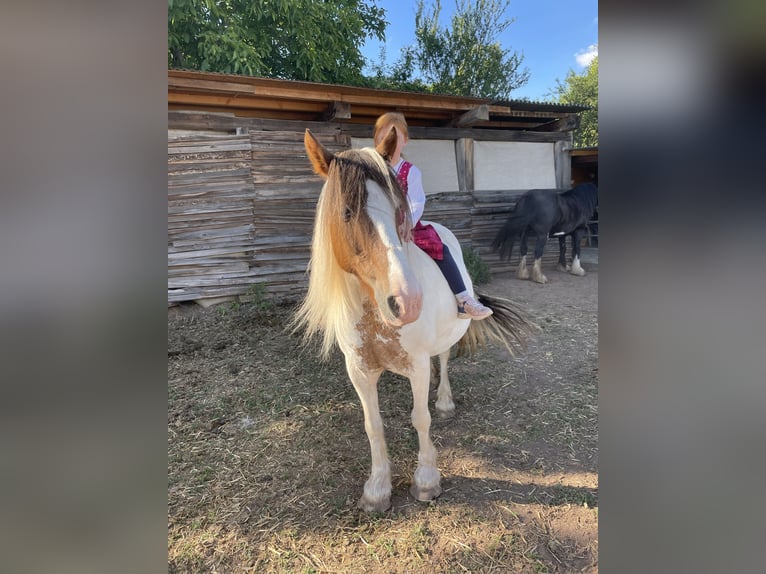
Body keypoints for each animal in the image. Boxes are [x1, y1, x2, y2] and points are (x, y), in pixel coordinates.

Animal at [294, 130, 536, 512]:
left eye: (399, 210)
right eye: (346, 212)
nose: (406, 302)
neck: (375, 317)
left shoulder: (417, 365)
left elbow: (420, 418)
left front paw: (426, 480)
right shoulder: (359, 370)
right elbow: (373, 425)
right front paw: (377, 488)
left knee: (445, 360)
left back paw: (445, 401)